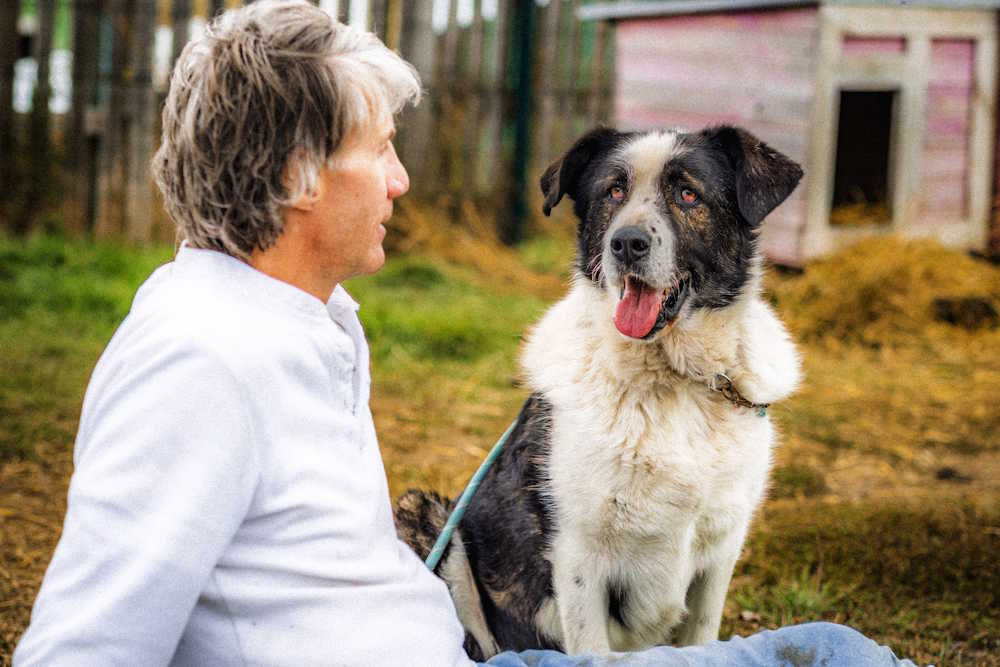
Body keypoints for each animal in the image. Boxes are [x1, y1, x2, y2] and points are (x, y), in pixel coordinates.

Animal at [396, 124, 803, 660]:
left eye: (688, 194)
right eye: (613, 192)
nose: (626, 243)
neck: (672, 380)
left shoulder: (720, 553)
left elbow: (702, 638)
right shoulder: (579, 555)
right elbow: (589, 644)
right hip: (425, 517)